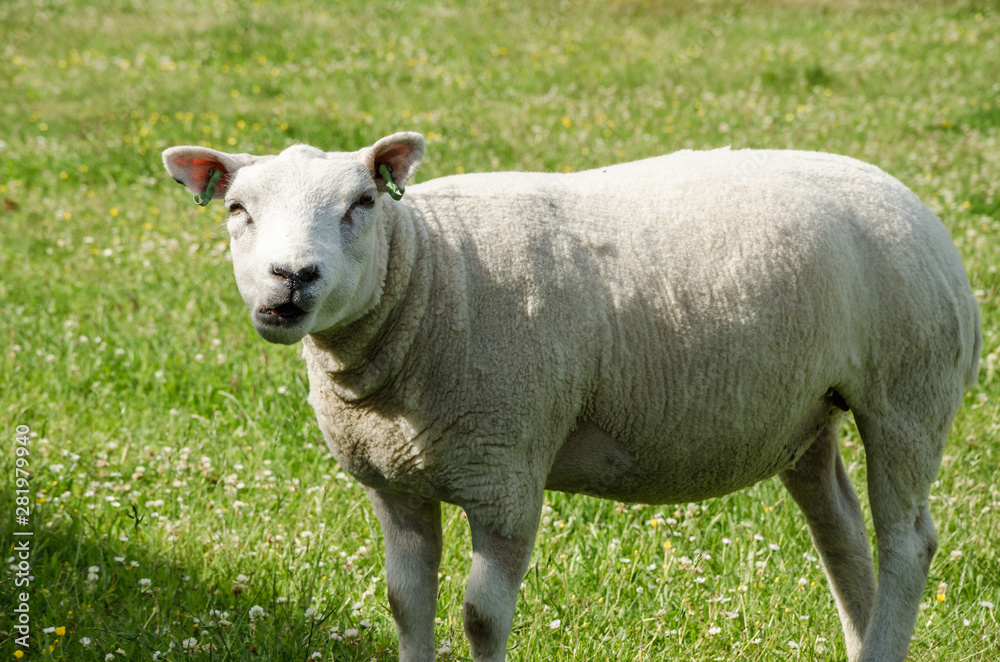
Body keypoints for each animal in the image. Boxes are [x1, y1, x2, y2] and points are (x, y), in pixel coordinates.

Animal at [162, 132, 981, 662]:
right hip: (807, 415)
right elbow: (405, 604)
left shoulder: (507, 473)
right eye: (236, 209)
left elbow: (480, 617)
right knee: (842, 535)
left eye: (362, 202)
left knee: (907, 541)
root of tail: (912, 202)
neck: (431, 277)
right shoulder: (396, 486)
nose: (291, 278)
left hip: (908, 393)